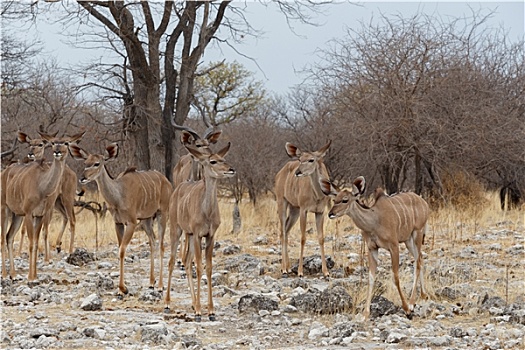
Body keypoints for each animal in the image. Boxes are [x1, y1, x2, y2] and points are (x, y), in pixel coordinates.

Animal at [1, 132, 83, 282]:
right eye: (54, 142)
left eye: (66, 143)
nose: (57, 151)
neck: (41, 185)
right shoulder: (29, 213)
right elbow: (31, 243)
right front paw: (30, 275)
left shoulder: (40, 214)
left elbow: (36, 240)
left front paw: (34, 274)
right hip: (5, 209)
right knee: (4, 237)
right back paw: (5, 274)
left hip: (21, 214)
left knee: (9, 237)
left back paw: (13, 274)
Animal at [68, 144, 172, 296]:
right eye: (85, 163)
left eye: (97, 163)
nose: (82, 178)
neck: (119, 195)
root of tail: (167, 182)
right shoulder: (118, 223)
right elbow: (120, 249)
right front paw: (121, 288)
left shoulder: (131, 223)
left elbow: (122, 250)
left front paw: (123, 288)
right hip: (146, 219)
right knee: (153, 241)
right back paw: (151, 283)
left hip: (162, 213)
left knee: (162, 244)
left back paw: (159, 285)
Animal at [164, 142, 235, 320]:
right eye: (212, 161)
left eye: (223, 158)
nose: (231, 169)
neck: (207, 212)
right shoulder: (197, 235)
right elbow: (200, 267)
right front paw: (198, 311)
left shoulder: (210, 236)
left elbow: (208, 268)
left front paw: (210, 311)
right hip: (176, 230)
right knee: (172, 261)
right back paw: (167, 304)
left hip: (188, 235)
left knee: (187, 262)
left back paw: (193, 302)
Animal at [274, 140, 332, 278]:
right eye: (300, 159)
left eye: (311, 160)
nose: (298, 172)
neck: (317, 195)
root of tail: (279, 174)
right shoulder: (304, 210)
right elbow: (303, 238)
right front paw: (300, 272)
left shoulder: (320, 212)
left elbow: (321, 238)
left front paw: (326, 272)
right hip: (282, 202)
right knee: (282, 231)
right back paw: (284, 269)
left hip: (294, 209)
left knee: (286, 230)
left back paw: (288, 268)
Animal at [320, 176, 430, 318]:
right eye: (335, 199)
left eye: (345, 199)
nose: (331, 214)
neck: (374, 221)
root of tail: (424, 203)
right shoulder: (372, 248)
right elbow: (371, 278)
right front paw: (365, 314)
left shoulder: (394, 246)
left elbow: (395, 277)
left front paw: (406, 309)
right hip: (408, 240)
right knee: (420, 259)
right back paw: (423, 295)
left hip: (417, 233)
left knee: (417, 263)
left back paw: (411, 303)